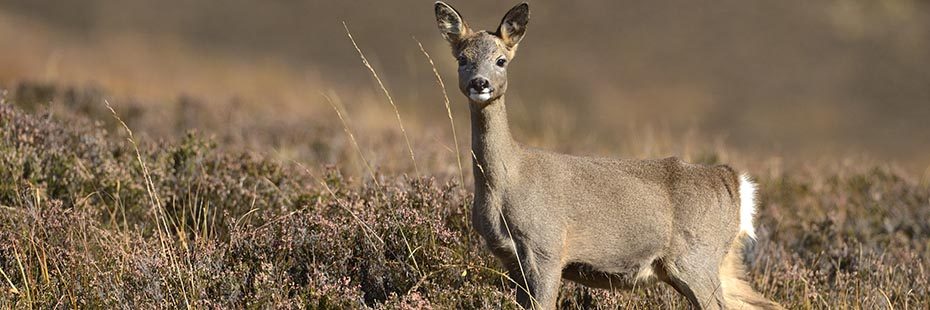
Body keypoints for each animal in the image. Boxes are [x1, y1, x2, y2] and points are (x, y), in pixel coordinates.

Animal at [436, 2, 784, 310]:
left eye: (501, 60)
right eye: (462, 58)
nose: (479, 83)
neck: (507, 181)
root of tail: (733, 181)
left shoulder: (545, 247)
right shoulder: (511, 259)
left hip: (696, 257)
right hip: (721, 263)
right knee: (768, 304)